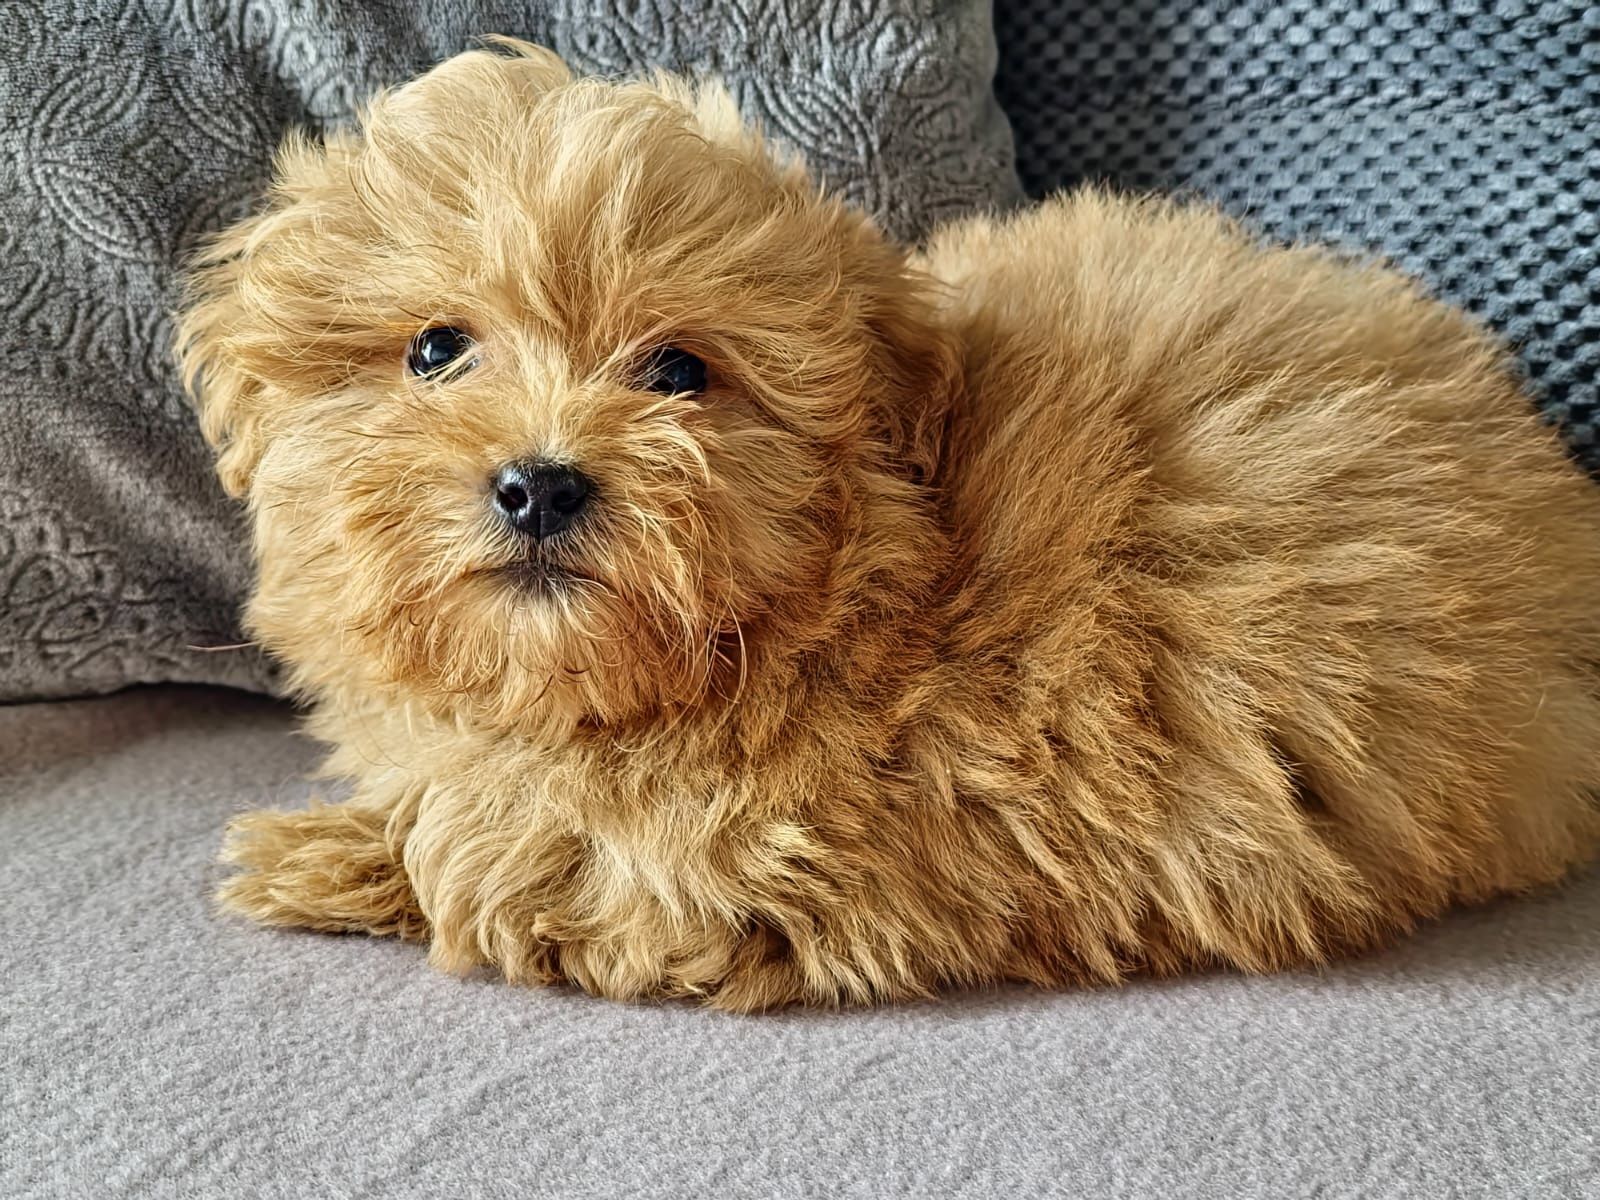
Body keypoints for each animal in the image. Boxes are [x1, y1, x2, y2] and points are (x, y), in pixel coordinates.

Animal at [175, 40, 1600, 1017]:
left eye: (680, 371)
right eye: (434, 348)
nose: (539, 483)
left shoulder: (761, 868)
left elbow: (508, 867)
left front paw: (320, 855)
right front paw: (341, 836)